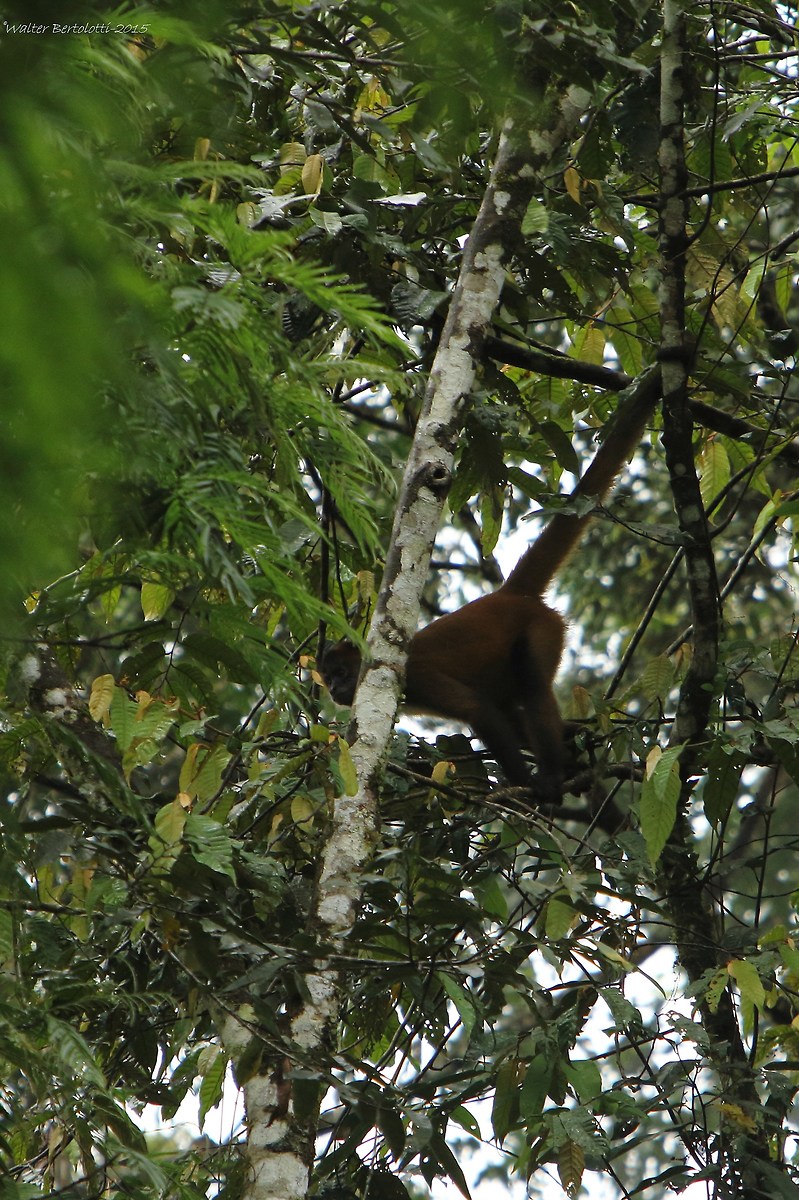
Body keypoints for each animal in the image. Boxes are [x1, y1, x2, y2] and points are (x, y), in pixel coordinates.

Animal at [320, 377, 660, 802]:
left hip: (542, 629)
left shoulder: (414, 675)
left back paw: (552, 775)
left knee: (533, 687)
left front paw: (526, 785)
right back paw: (574, 750)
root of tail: (507, 595)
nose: (334, 689)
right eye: (327, 679)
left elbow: (476, 709)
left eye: (338, 673)